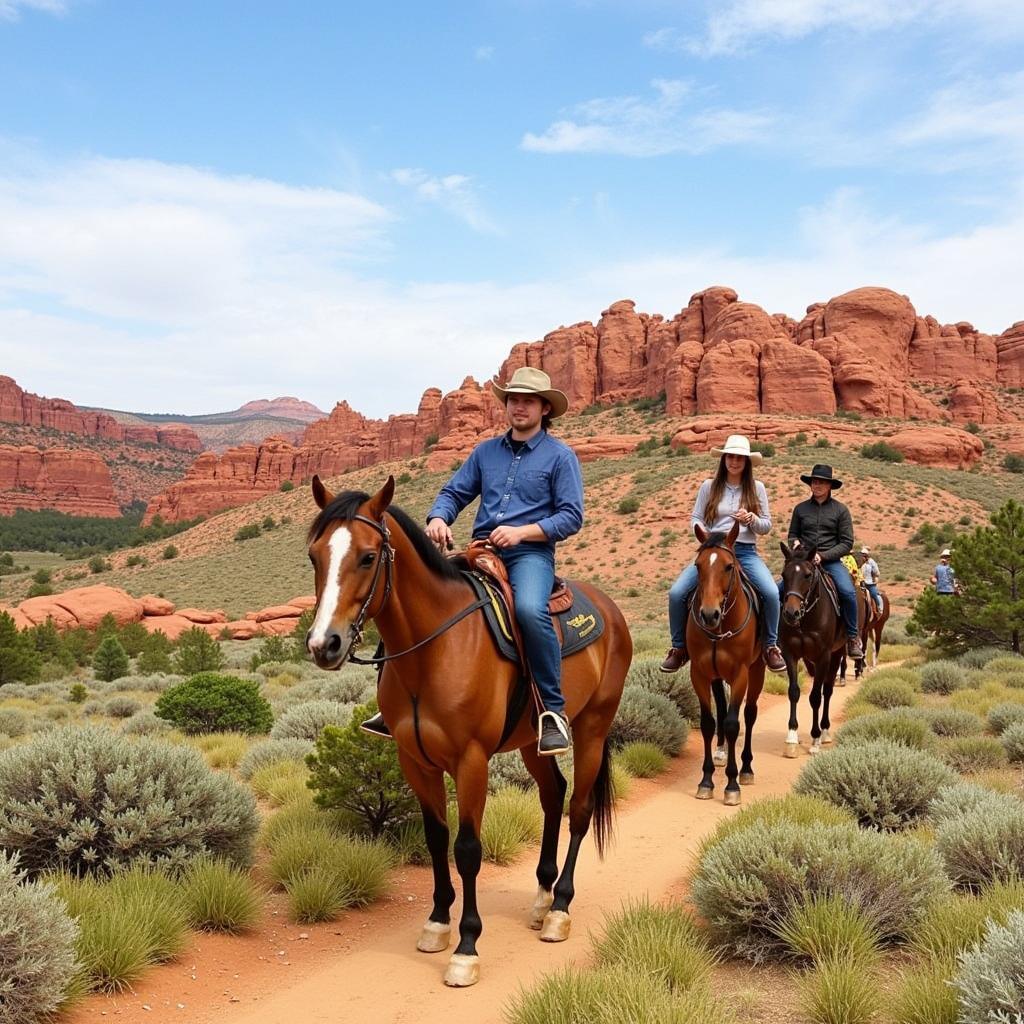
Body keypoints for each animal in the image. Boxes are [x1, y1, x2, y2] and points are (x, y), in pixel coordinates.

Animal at [301, 475, 630, 987]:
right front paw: (438, 924)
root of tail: (611, 610)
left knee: (578, 809)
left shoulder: (471, 760)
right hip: (533, 742)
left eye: (368, 557)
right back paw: (541, 897)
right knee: (552, 794)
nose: (324, 644)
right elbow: (436, 838)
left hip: (593, 726)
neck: (433, 651)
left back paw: (559, 909)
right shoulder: (415, 761)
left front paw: (466, 947)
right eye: (315, 556)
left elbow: (468, 848)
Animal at [684, 524, 765, 802]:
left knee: (750, 714)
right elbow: (708, 723)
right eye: (697, 566)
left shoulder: (740, 674)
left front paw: (731, 784)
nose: (709, 614)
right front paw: (706, 780)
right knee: (720, 706)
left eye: (729, 566)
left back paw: (747, 768)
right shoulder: (699, 673)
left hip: (758, 670)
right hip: (717, 676)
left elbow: (732, 724)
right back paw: (720, 753)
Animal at [774, 544, 864, 753]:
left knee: (827, 691)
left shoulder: (824, 656)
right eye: (784, 574)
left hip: (836, 654)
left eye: (807, 575)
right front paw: (792, 737)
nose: (790, 613)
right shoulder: (791, 654)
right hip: (811, 660)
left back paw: (824, 731)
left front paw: (815, 738)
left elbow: (816, 696)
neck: (806, 618)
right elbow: (794, 692)